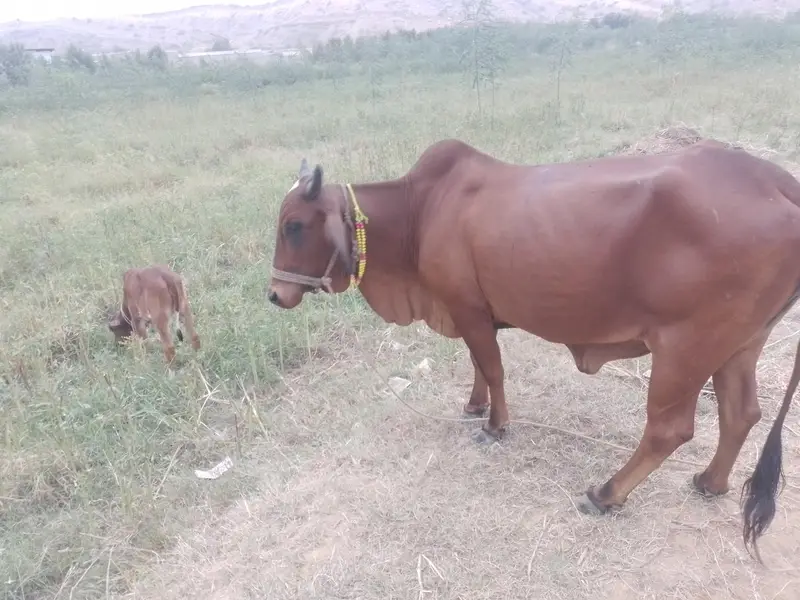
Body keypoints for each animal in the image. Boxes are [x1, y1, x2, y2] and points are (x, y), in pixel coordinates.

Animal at [266, 139, 800, 562]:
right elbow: (478, 366)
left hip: (685, 346)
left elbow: (493, 368)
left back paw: (607, 494)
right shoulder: (470, 312)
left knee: (670, 430)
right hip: (740, 343)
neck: (421, 209)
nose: (274, 295)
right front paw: (474, 405)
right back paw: (709, 482)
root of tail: (774, 179)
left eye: (293, 225)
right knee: (740, 414)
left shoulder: (468, 309)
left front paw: (495, 426)